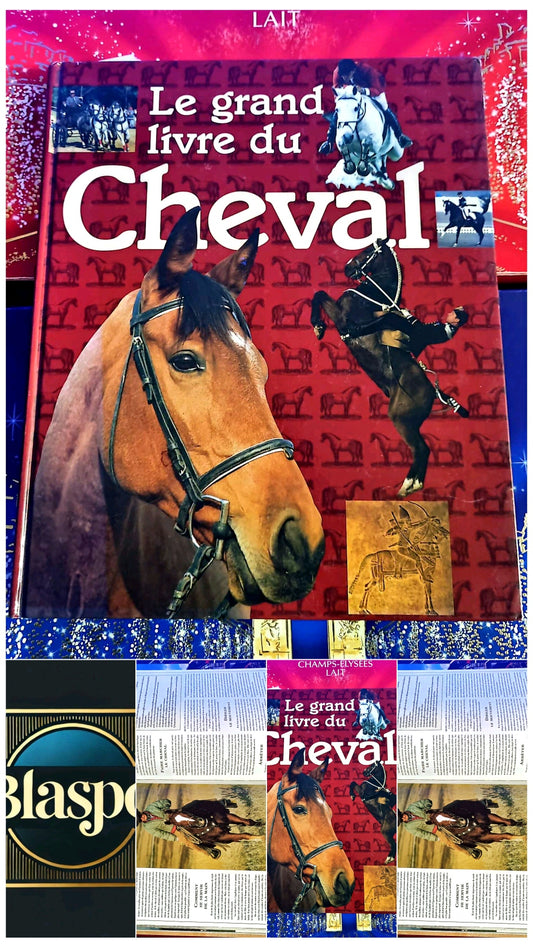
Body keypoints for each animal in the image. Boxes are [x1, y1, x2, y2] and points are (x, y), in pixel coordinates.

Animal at [311, 240, 452, 496]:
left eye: (368, 250)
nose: (348, 267)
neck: (373, 296)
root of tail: (434, 392)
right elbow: (319, 294)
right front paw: (318, 326)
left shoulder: (342, 316)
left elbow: (320, 294)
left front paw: (318, 326)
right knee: (423, 449)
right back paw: (413, 485)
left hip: (400, 419)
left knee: (421, 449)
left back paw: (408, 485)